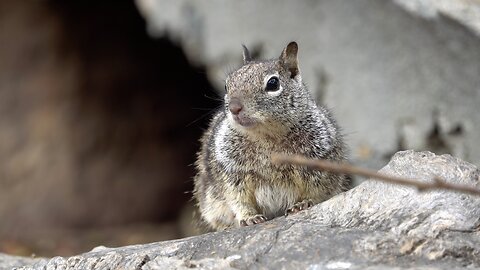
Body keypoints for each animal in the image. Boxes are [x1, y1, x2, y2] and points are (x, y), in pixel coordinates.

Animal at [192, 41, 348, 230]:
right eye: (226, 86)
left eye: (273, 83)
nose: (234, 108)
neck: (266, 136)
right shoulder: (232, 173)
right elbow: (238, 200)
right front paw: (249, 217)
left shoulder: (318, 164)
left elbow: (315, 191)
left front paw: (303, 203)